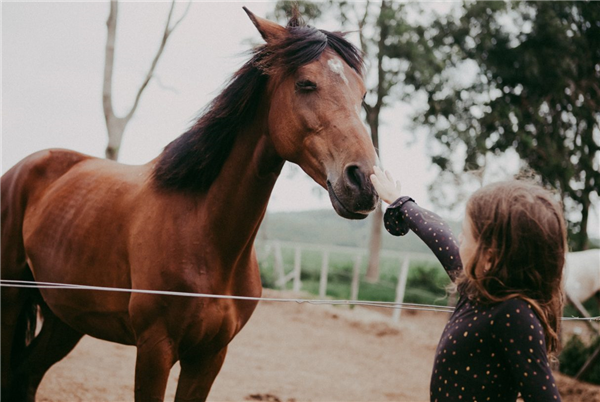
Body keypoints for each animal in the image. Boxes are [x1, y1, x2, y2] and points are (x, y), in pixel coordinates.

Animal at [0, 8, 378, 402]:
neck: (204, 233)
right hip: (11, 300)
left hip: (66, 319)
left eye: (363, 93)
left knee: (25, 376)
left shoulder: (209, 356)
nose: (364, 181)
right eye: (305, 83)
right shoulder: (155, 350)